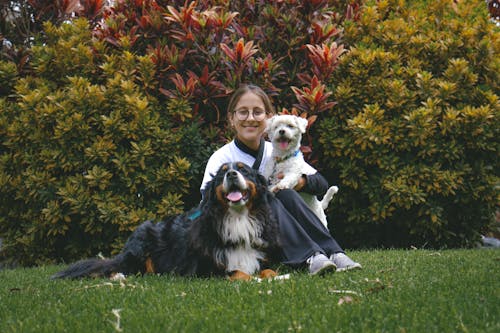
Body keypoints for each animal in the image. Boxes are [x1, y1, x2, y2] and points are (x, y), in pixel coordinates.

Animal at [54, 161, 284, 280]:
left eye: (244, 170)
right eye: (222, 173)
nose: (232, 175)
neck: (237, 217)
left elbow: (269, 270)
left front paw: (275, 276)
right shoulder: (204, 269)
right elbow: (239, 272)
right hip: (140, 245)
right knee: (118, 268)